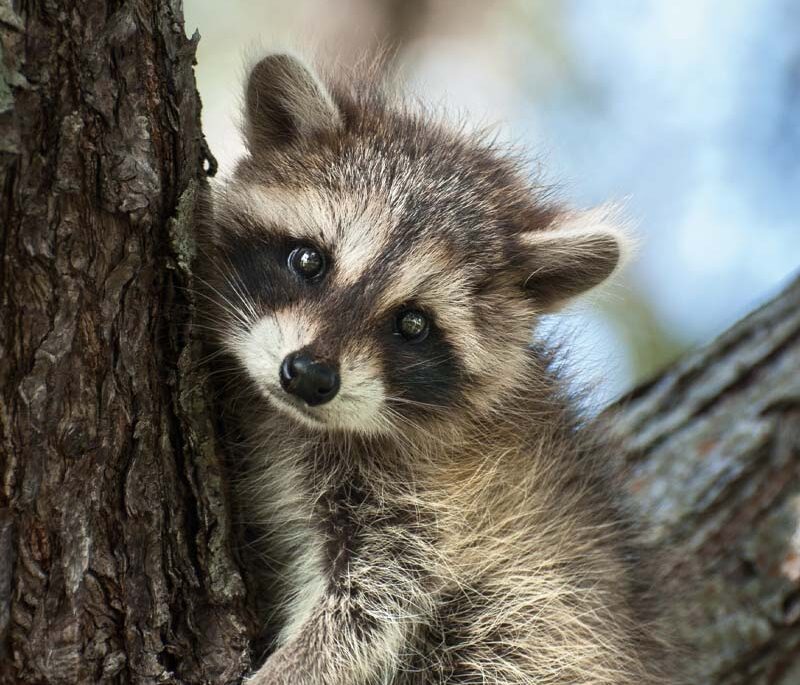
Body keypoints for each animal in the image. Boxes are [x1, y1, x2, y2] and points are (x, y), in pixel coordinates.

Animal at [198, 53, 674, 684]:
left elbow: (373, 602)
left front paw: (287, 670)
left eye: (413, 324)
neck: (296, 423)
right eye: (308, 260)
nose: (309, 376)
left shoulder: (438, 495)